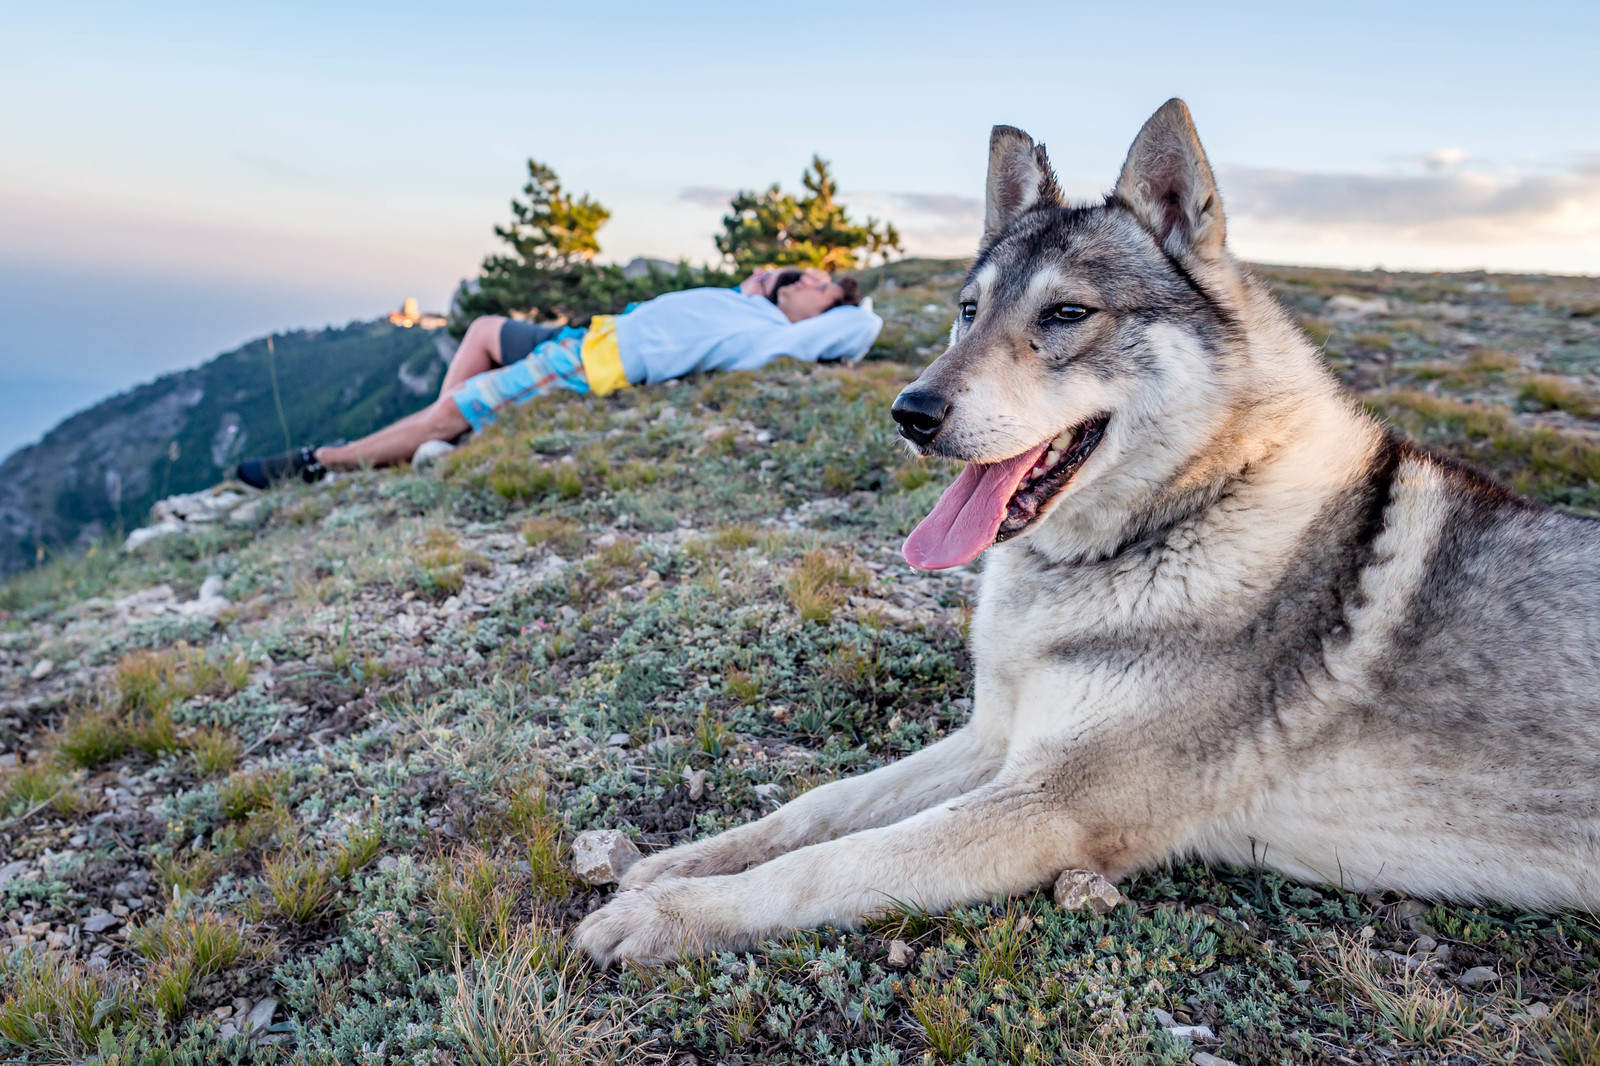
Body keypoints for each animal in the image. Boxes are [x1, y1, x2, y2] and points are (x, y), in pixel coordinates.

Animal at [576, 99, 1600, 960]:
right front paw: (677, 862)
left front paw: (669, 914)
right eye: (967, 311)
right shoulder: (994, 742)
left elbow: (834, 860)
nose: (911, 412)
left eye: (1066, 314)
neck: (1183, 517)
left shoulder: (1049, 806)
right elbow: (817, 808)